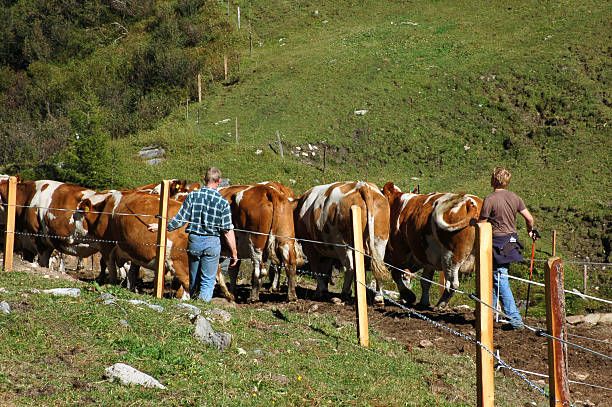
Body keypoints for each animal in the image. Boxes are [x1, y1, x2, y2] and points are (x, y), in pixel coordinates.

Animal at [382, 182, 482, 310]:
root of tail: (470, 202)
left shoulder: (398, 252)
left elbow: (397, 274)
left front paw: (409, 296)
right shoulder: (427, 256)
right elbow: (426, 281)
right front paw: (423, 302)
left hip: (451, 255)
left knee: (452, 283)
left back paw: (441, 303)